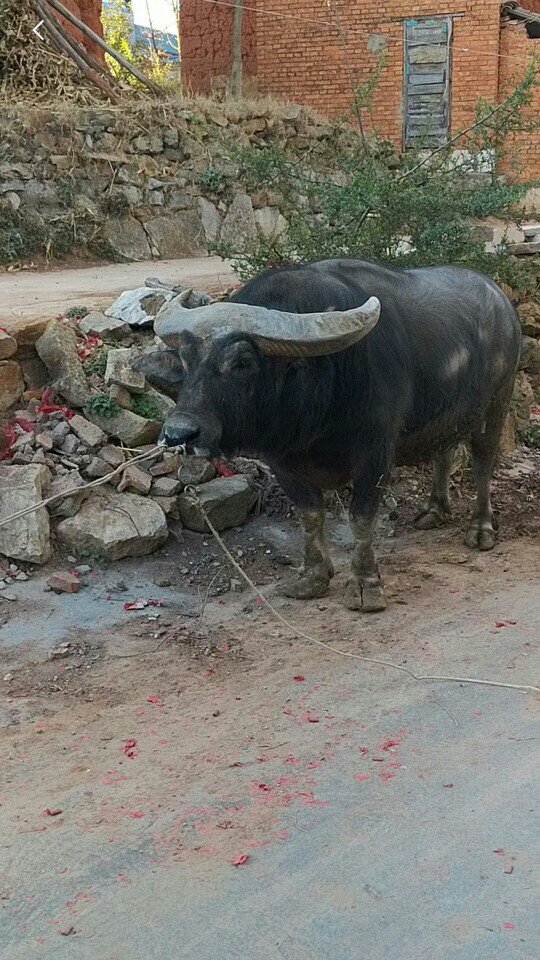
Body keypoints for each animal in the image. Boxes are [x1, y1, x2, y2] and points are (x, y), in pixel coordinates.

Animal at [142, 258, 520, 612]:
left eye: (243, 362)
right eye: (185, 358)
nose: (179, 433)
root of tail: (503, 303)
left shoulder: (375, 455)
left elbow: (361, 518)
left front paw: (366, 585)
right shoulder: (282, 461)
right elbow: (310, 516)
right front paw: (313, 577)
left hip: (496, 404)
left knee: (482, 463)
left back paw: (481, 529)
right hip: (448, 413)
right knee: (444, 451)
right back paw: (434, 510)